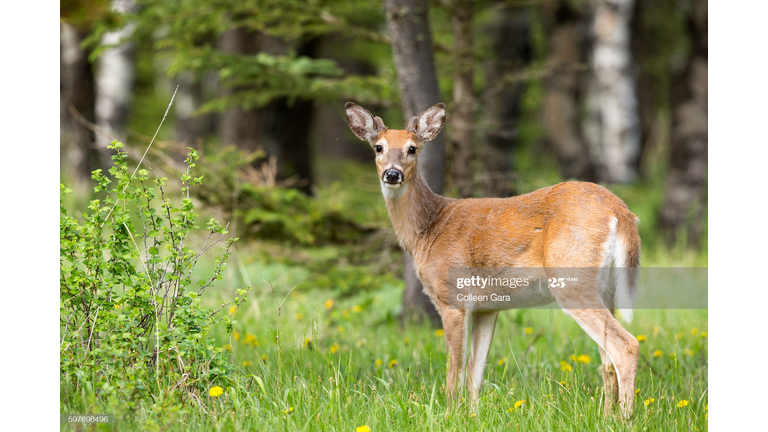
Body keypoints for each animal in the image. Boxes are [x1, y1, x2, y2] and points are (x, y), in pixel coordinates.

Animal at [346, 99, 640, 416]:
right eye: (378, 147)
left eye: (413, 148)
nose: (392, 174)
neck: (428, 230)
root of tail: (620, 210)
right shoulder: (487, 308)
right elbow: (475, 372)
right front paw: (473, 415)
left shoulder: (453, 299)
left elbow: (454, 369)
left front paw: (449, 414)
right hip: (605, 288)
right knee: (607, 362)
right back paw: (606, 416)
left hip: (572, 279)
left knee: (626, 346)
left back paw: (624, 418)